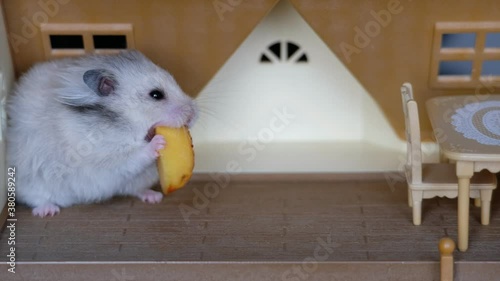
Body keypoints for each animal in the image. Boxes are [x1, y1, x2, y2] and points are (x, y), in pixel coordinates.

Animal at [6, 49, 197, 217]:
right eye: (156, 95)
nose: (193, 114)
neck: (121, 126)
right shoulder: (103, 158)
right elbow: (133, 157)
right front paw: (158, 142)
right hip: (30, 183)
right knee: (36, 198)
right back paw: (47, 211)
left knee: (135, 189)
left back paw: (154, 197)